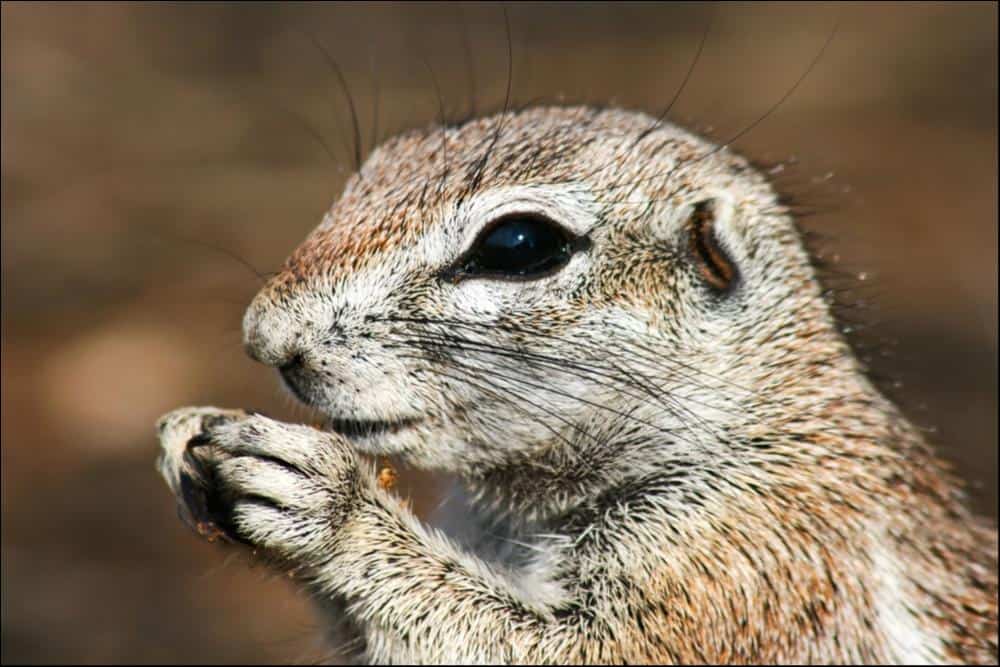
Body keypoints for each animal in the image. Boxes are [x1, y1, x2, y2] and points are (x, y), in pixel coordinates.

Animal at [156, 107, 1000, 664]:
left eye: (519, 243)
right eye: (372, 170)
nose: (265, 337)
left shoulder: (747, 564)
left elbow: (560, 650)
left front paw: (329, 503)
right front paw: (188, 434)